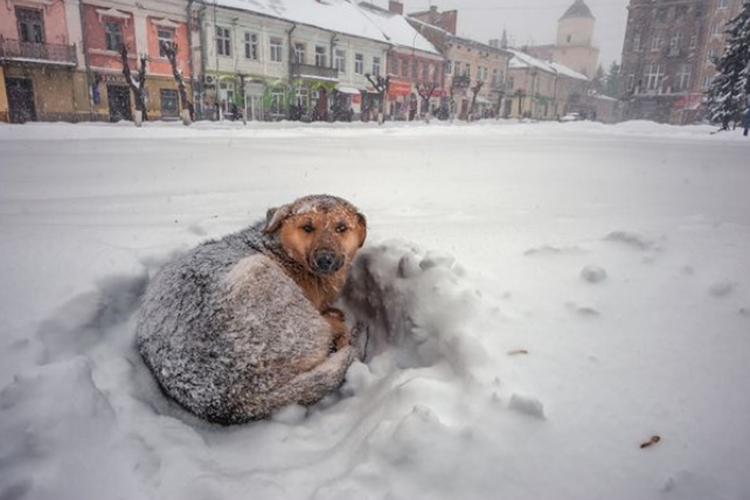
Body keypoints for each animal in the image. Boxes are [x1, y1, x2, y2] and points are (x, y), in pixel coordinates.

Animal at [137, 195, 370, 426]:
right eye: (307, 227)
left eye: (341, 228)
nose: (325, 260)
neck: (283, 252)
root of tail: (238, 398)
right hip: (262, 279)